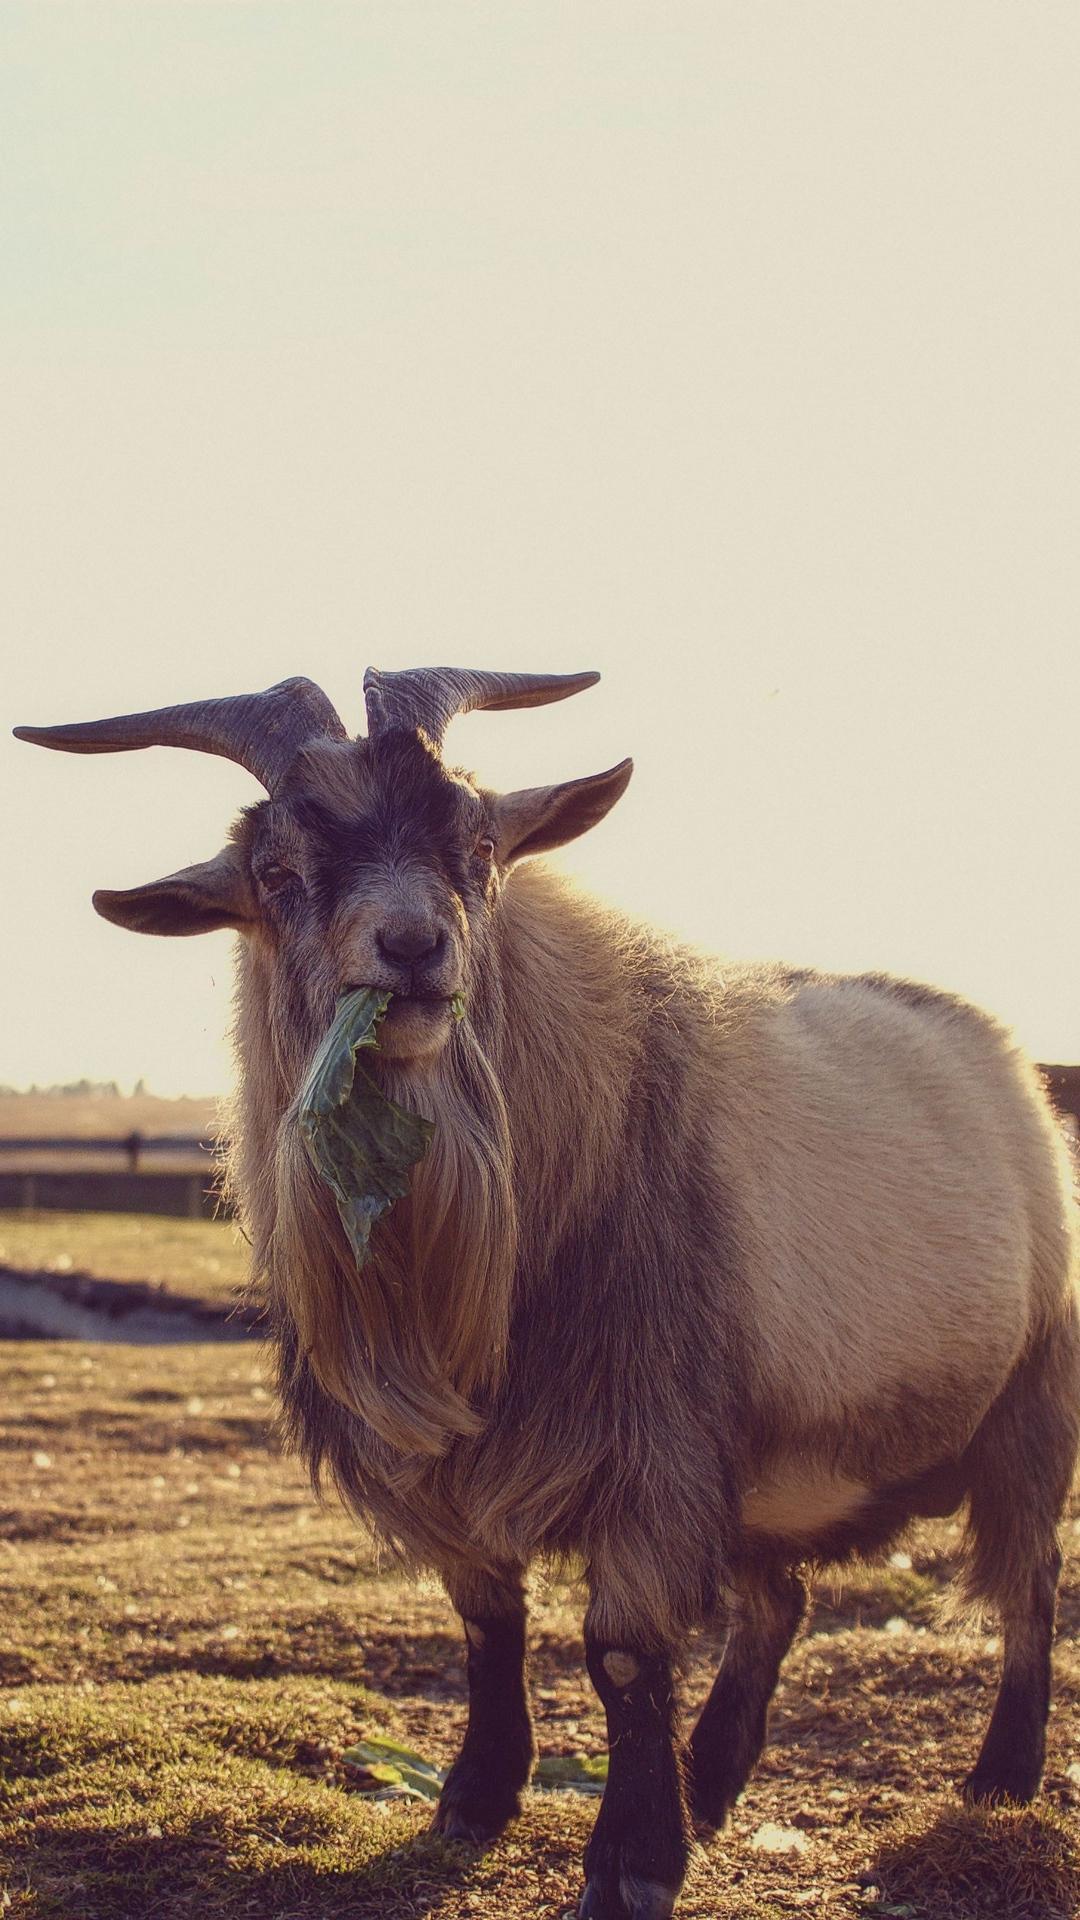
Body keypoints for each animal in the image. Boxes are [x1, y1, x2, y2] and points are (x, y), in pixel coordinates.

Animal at [17, 667, 1080, 1920]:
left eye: (479, 844)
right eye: (276, 872)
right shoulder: (480, 1468)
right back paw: (716, 1778)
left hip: (1026, 1402)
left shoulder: (649, 1446)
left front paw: (632, 1860)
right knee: (779, 1604)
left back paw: (1000, 1777)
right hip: (769, 1452)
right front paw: (477, 1797)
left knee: (1027, 1588)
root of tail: (1007, 1058)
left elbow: (620, 1652)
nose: (414, 945)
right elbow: (486, 1621)